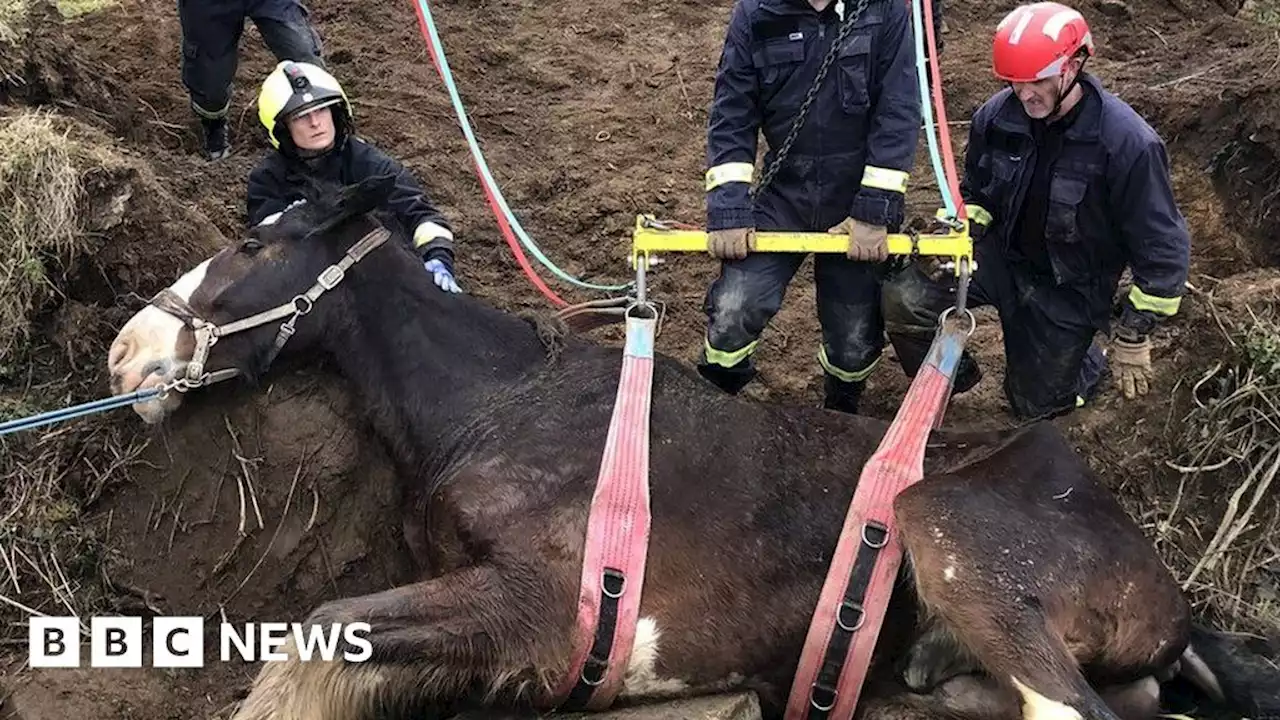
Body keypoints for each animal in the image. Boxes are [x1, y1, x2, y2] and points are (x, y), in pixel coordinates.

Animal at [104, 175, 1264, 717]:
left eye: (250, 244)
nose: (127, 353)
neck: (493, 404)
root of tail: (1172, 601)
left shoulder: (541, 607)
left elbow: (315, 635)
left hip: (947, 527)